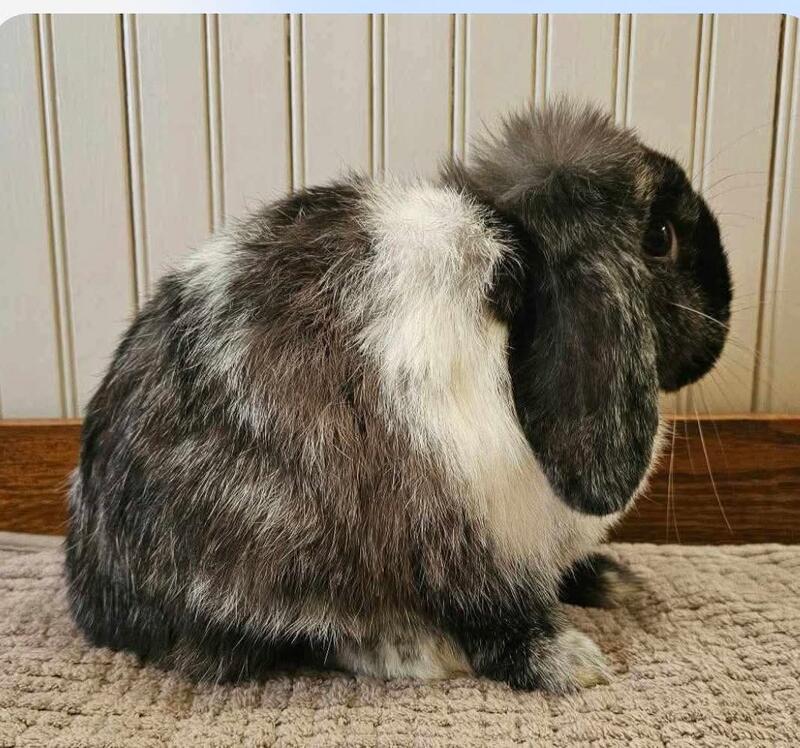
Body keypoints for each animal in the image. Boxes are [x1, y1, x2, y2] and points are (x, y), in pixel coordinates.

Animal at [65, 99, 731, 692]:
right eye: (661, 237)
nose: (721, 329)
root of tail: (95, 598)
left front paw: (613, 582)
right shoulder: (456, 531)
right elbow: (493, 619)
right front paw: (568, 662)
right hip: (271, 556)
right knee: (284, 639)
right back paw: (416, 651)